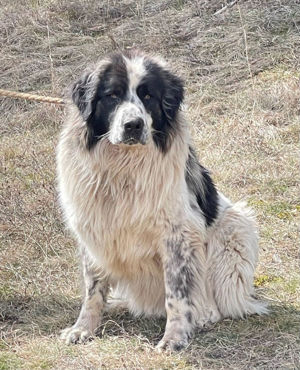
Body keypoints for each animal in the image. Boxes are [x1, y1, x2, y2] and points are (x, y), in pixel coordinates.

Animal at [57, 50, 268, 352]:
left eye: (148, 96)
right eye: (112, 95)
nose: (133, 125)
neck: (124, 168)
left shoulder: (178, 235)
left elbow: (177, 295)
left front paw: (174, 338)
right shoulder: (94, 230)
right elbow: (93, 291)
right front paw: (83, 329)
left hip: (236, 226)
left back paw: (203, 313)